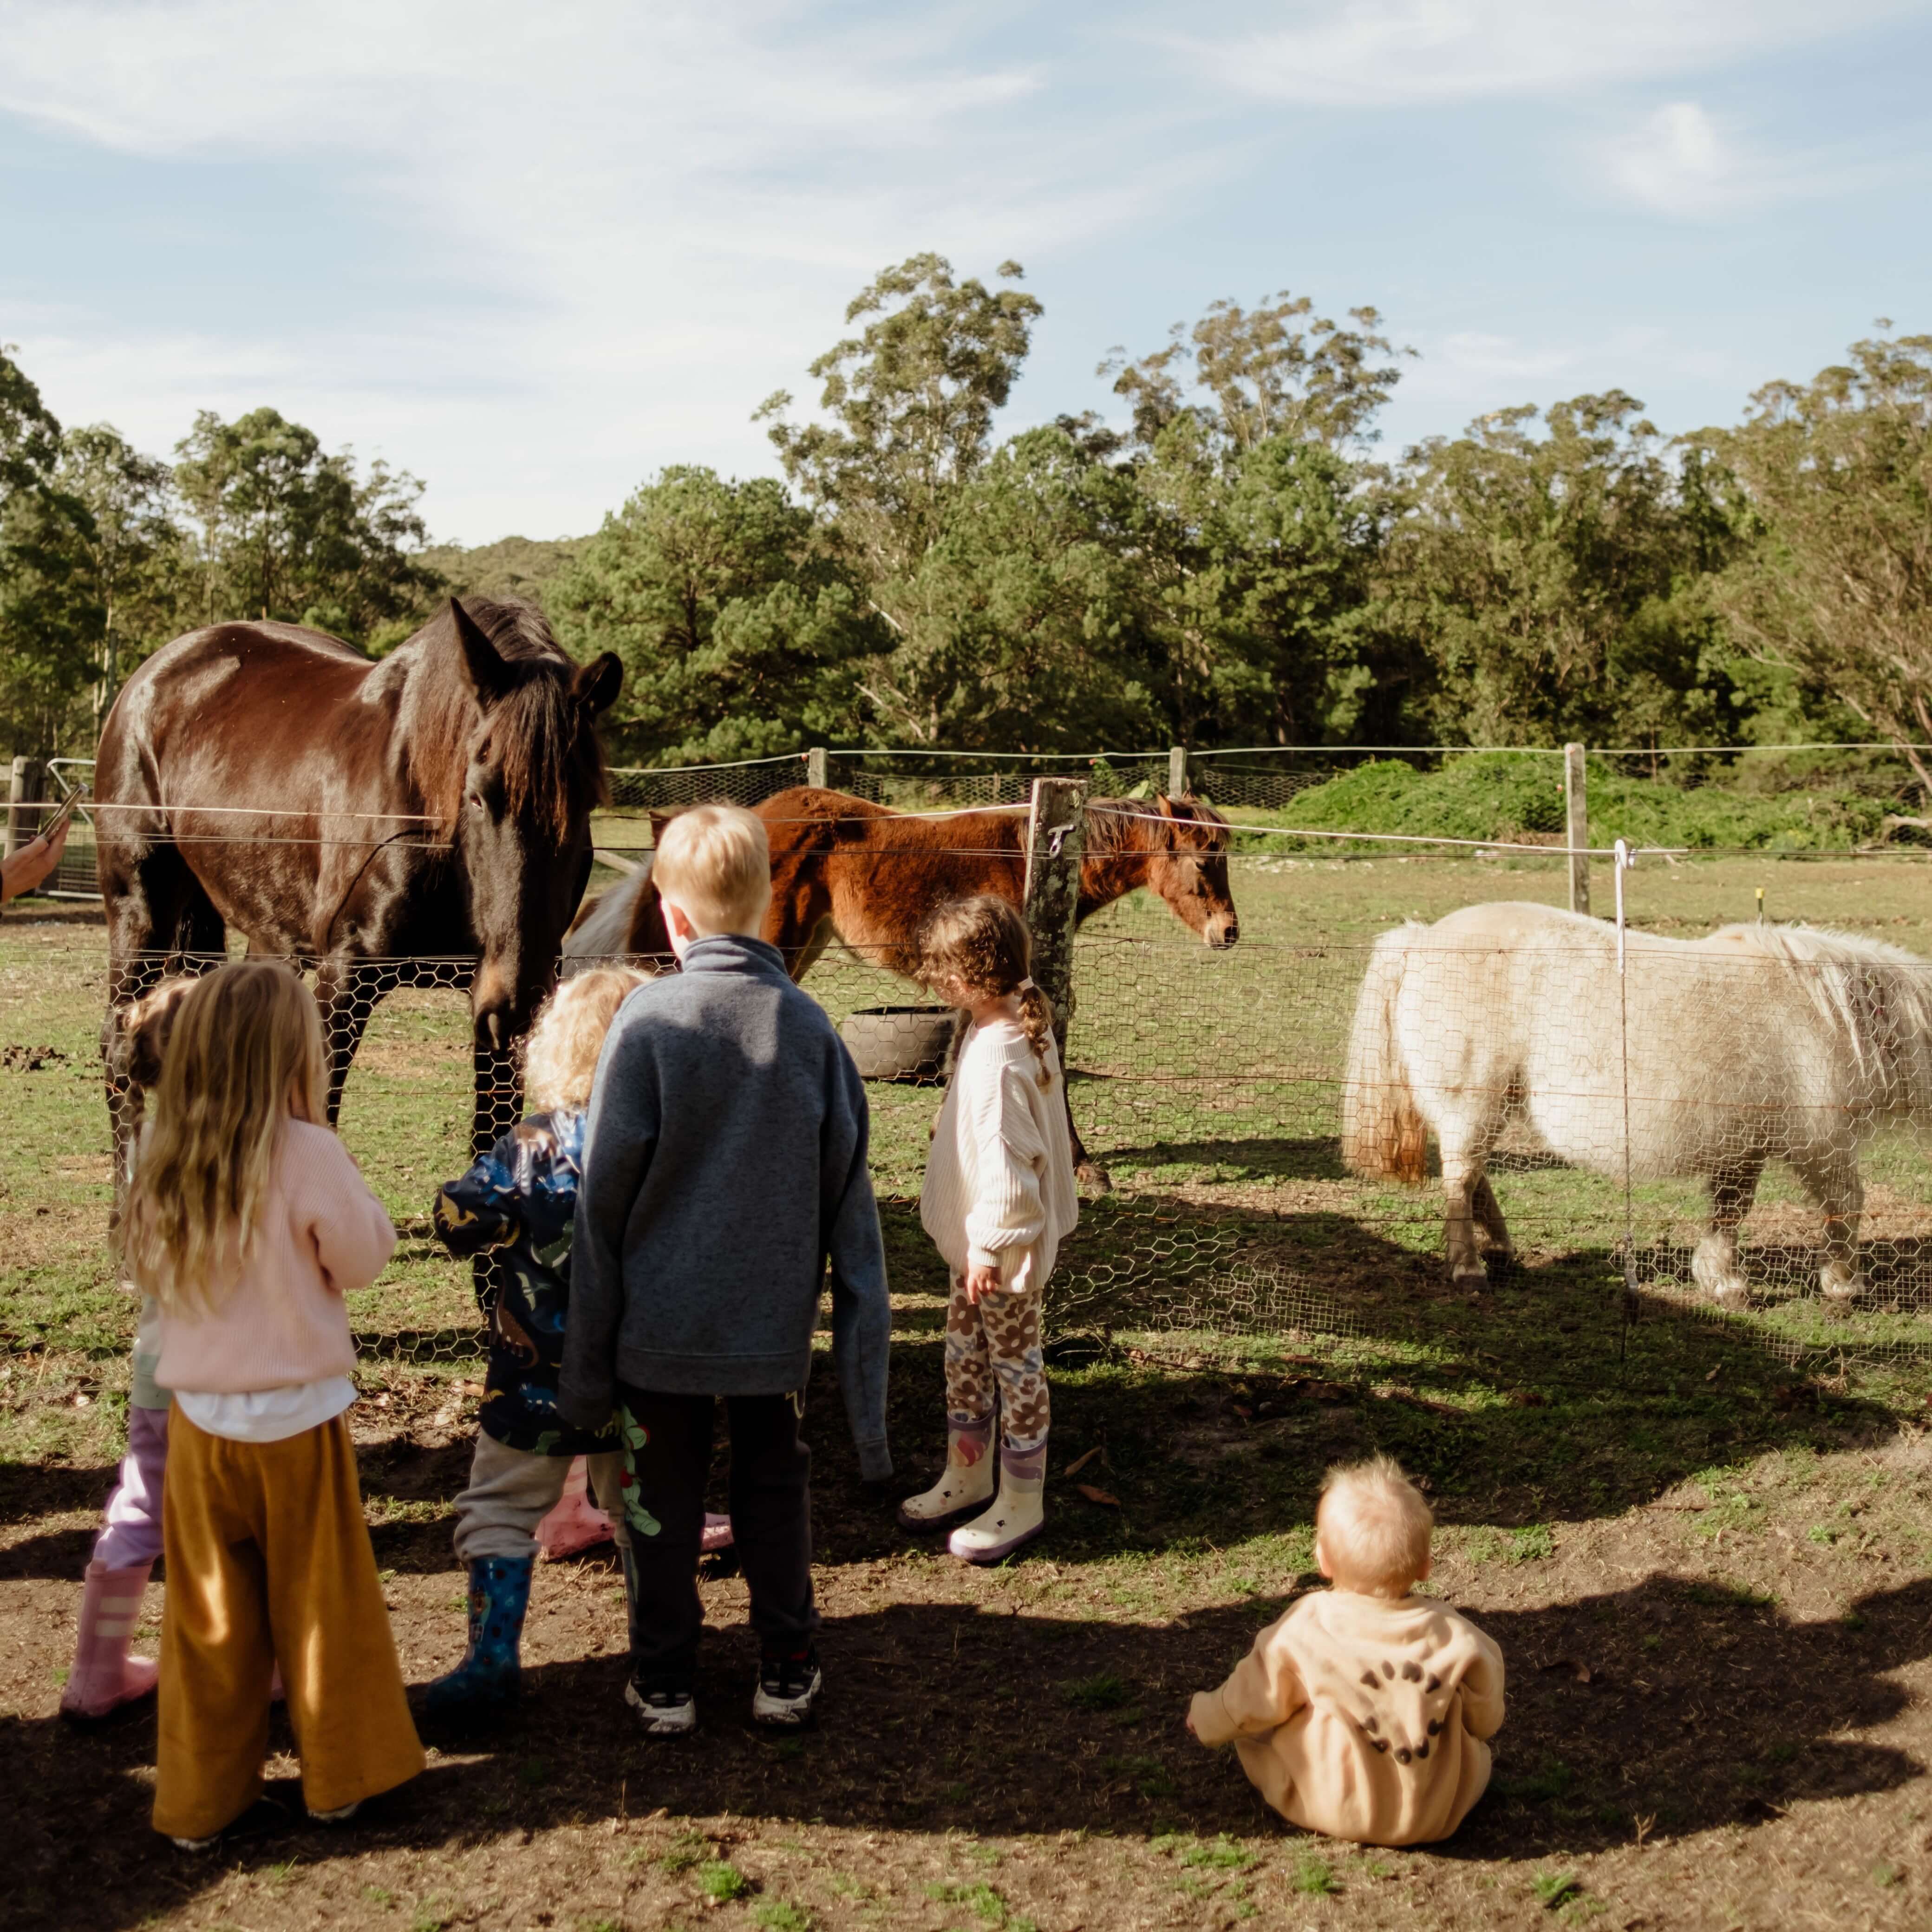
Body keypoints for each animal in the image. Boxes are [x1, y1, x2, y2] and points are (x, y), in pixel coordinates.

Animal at [94, 597, 621, 1157]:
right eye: (477, 795)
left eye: (585, 803)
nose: (518, 1007)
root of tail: (155, 671)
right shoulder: (345, 979)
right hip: (140, 911)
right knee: (119, 1049)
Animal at [1341, 900, 1932, 1307]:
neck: (1829, 1014)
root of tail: (1420, 939)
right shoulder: (1820, 1143)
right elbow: (1844, 1203)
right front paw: (1842, 1285)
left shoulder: (1744, 1145)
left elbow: (1730, 1210)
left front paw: (1722, 1281)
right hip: (1473, 1103)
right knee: (1460, 1179)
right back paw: (1468, 1269)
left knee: (1473, 1177)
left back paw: (1502, 1250)